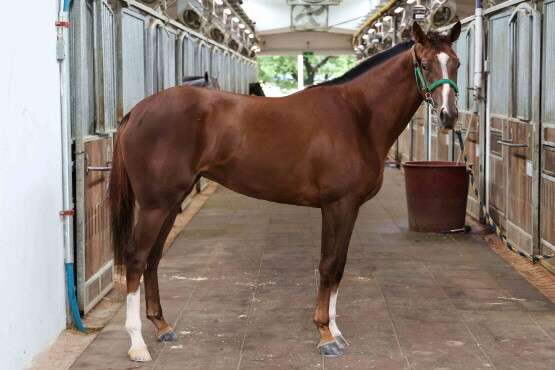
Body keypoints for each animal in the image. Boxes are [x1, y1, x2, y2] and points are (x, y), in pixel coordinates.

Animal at [108, 21, 460, 360]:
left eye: (455, 63)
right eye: (424, 64)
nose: (448, 116)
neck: (356, 117)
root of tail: (137, 111)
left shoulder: (351, 207)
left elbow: (340, 266)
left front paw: (336, 332)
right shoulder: (336, 205)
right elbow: (328, 265)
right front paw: (325, 336)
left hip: (170, 201)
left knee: (153, 258)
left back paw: (162, 327)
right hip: (154, 204)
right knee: (136, 258)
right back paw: (137, 344)